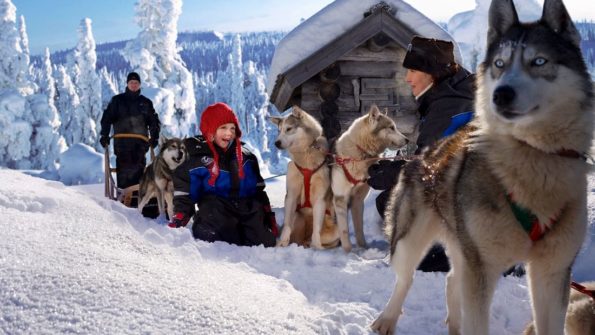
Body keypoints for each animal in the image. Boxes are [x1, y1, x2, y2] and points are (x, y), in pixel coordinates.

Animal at [270, 107, 340, 249]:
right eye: (279, 131)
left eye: (289, 129)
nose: (276, 143)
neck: (306, 155)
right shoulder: (291, 196)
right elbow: (287, 225)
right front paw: (282, 243)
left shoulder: (320, 199)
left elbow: (316, 230)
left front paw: (317, 247)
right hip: (297, 217)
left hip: (335, 230)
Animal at [330, 105, 410, 252]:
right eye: (391, 127)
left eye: (395, 127)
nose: (407, 140)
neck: (360, 152)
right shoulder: (340, 200)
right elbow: (344, 231)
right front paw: (348, 252)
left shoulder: (358, 201)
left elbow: (359, 229)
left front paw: (363, 248)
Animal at [374, 0, 592, 335]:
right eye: (499, 64)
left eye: (539, 61)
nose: (501, 94)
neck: (532, 157)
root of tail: (422, 155)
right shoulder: (482, 267)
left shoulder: (552, 272)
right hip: (412, 239)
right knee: (405, 279)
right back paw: (387, 319)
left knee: (452, 279)